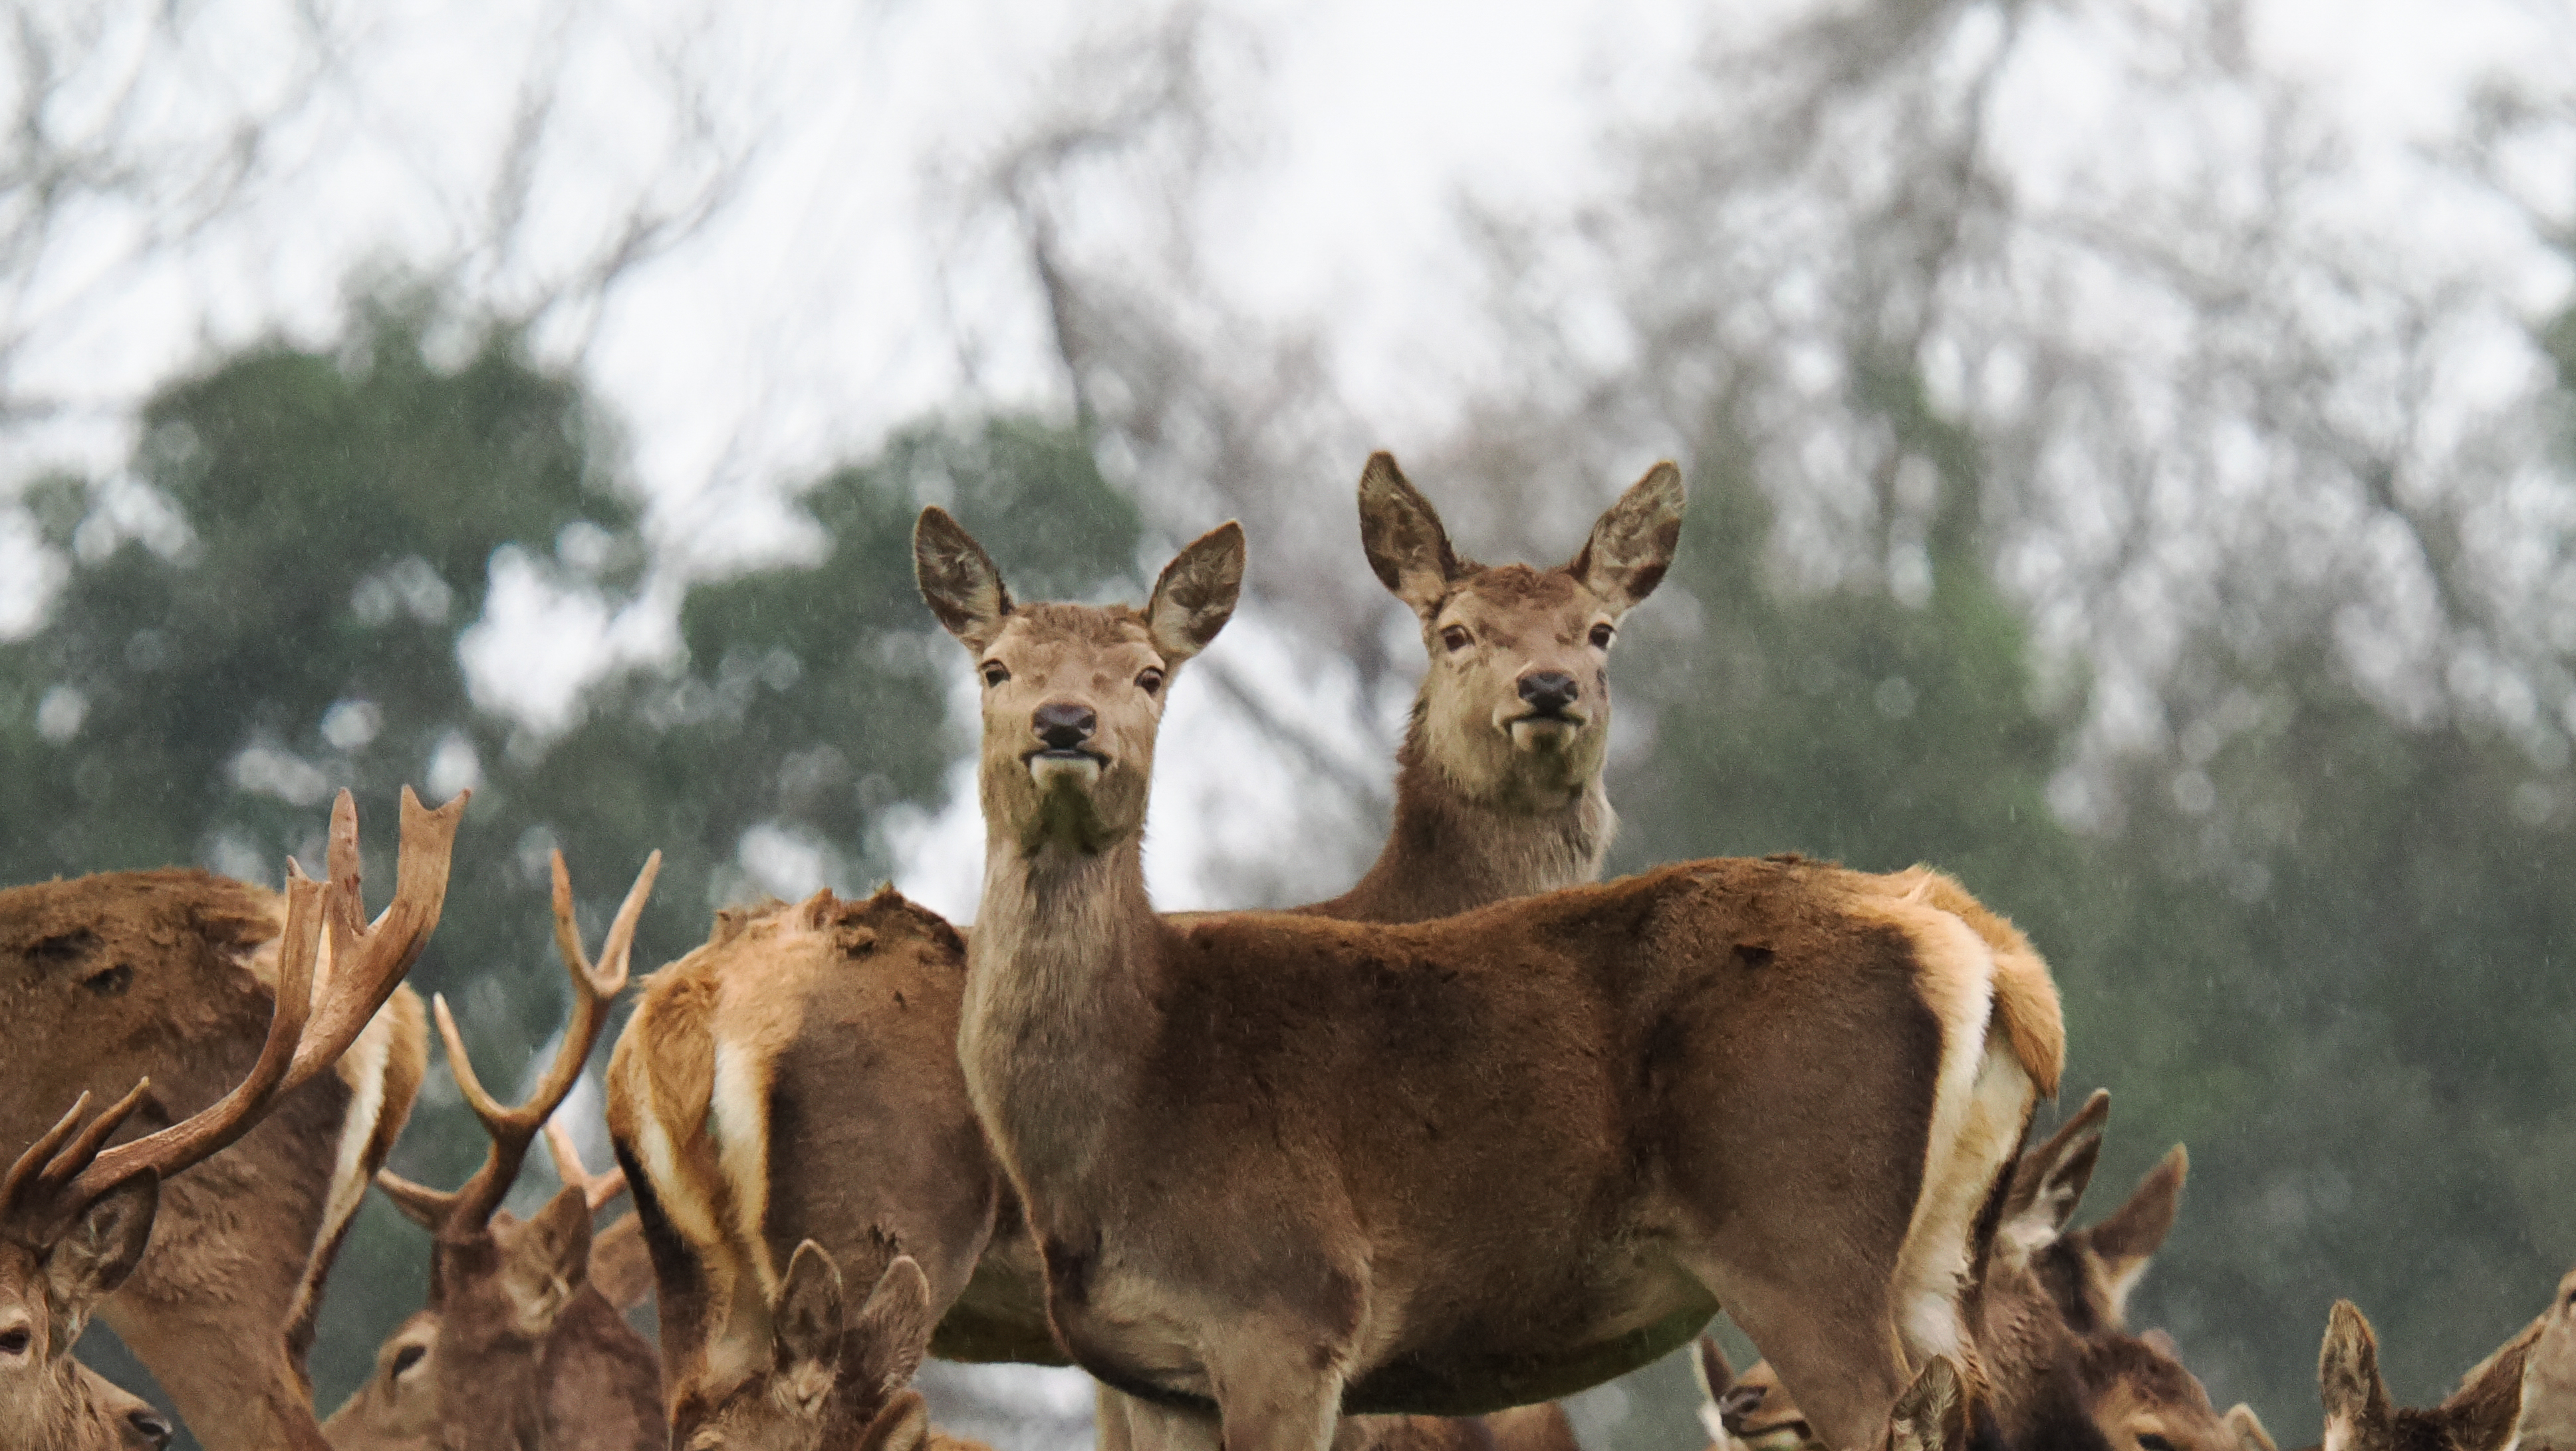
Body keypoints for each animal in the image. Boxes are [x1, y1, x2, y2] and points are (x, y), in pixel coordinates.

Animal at [609, 453, 1679, 1449]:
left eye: (1599, 630)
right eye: (1454, 632)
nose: (1548, 689)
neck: (1407, 908)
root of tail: (677, 1018)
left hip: (699, 1270)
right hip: (875, 1218)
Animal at [911, 506, 2065, 1451]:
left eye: (1151, 674)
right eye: (995, 668)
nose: (1067, 725)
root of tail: (1975, 943)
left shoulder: (1287, 1309)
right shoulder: (1152, 1367)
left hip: (1799, 1226)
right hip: (1938, 1256)